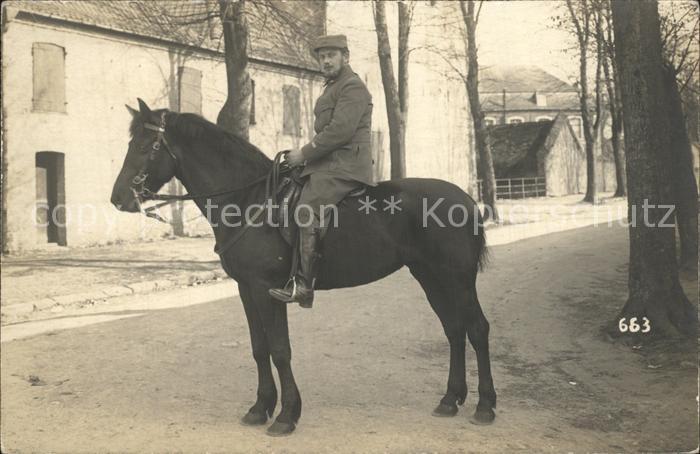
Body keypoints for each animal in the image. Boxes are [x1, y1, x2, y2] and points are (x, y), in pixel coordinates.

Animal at [111, 99, 496, 436]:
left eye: (145, 146)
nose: (118, 198)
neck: (248, 200)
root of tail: (466, 199)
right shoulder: (247, 289)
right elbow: (259, 348)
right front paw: (260, 408)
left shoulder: (267, 290)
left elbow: (280, 350)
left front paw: (286, 415)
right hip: (430, 277)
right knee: (454, 329)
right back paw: (450, 399)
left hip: (457, 280)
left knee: (476, 329)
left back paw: (485, 406)